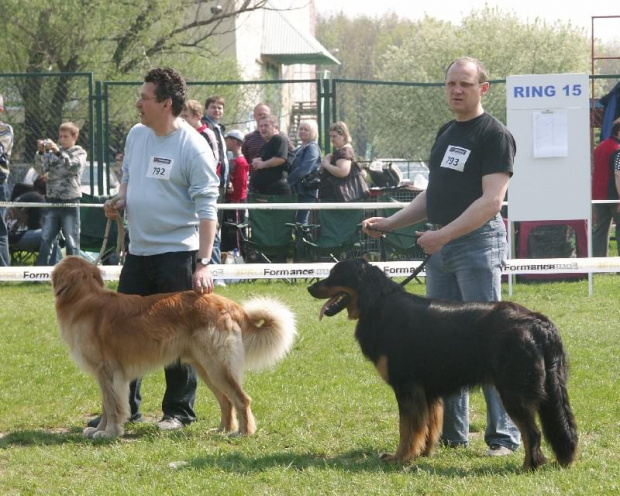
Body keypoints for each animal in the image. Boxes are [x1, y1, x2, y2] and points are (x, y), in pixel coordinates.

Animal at [50, 258, 298, 440]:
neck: (83, 299)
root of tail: (229, 305)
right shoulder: (106, 375)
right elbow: (106, 404)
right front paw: (99, 429)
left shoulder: (109, 372)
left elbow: (113, 406)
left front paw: (108, 432)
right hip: (206, 368)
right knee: (226, 401)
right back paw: (222, 430)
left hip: (217, 366)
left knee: (242, 399)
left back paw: (243, 434)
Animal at [308, 258, 580, 470]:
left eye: (335, 274)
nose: (310, 287)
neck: (377, 303)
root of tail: (538, 322)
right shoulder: (428, 391)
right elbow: (428, 425)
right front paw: (423, 453)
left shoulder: (407, 386)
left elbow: (407, 428)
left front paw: (401, 457)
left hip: (514, 390)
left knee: (531, 432)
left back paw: (529, 466)